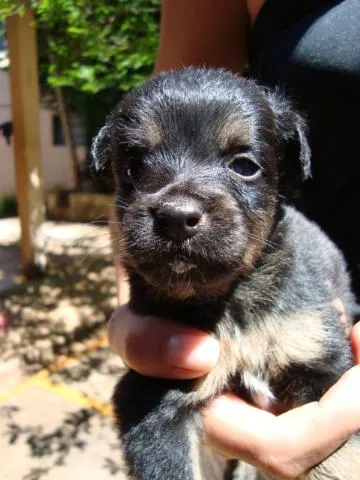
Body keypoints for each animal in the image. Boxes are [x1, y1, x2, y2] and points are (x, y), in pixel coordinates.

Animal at [92, 68, 360, 480]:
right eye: (134, 167)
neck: (229, 301)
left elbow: (337, 461)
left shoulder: (320, 364)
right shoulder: (152, 396)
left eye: (244, 165)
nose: (176, 217)